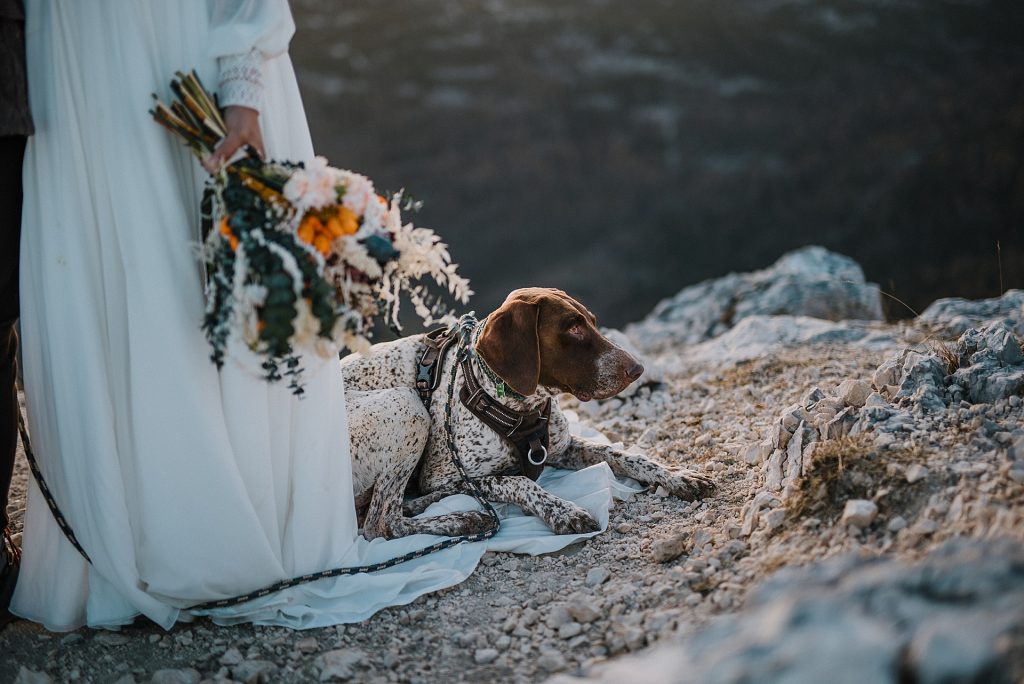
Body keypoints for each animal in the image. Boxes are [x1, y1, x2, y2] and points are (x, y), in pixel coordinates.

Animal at [341, 287, 715, 540]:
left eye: (592, 322)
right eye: (573, 328)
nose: (637, 369)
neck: (520, 407)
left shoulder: (560, 449)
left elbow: (624, 455)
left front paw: (677, 475)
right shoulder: (445, 475)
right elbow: (516, 480)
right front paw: (563, 510)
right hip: (407, 406)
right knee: (380, 524)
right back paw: (462, 519)